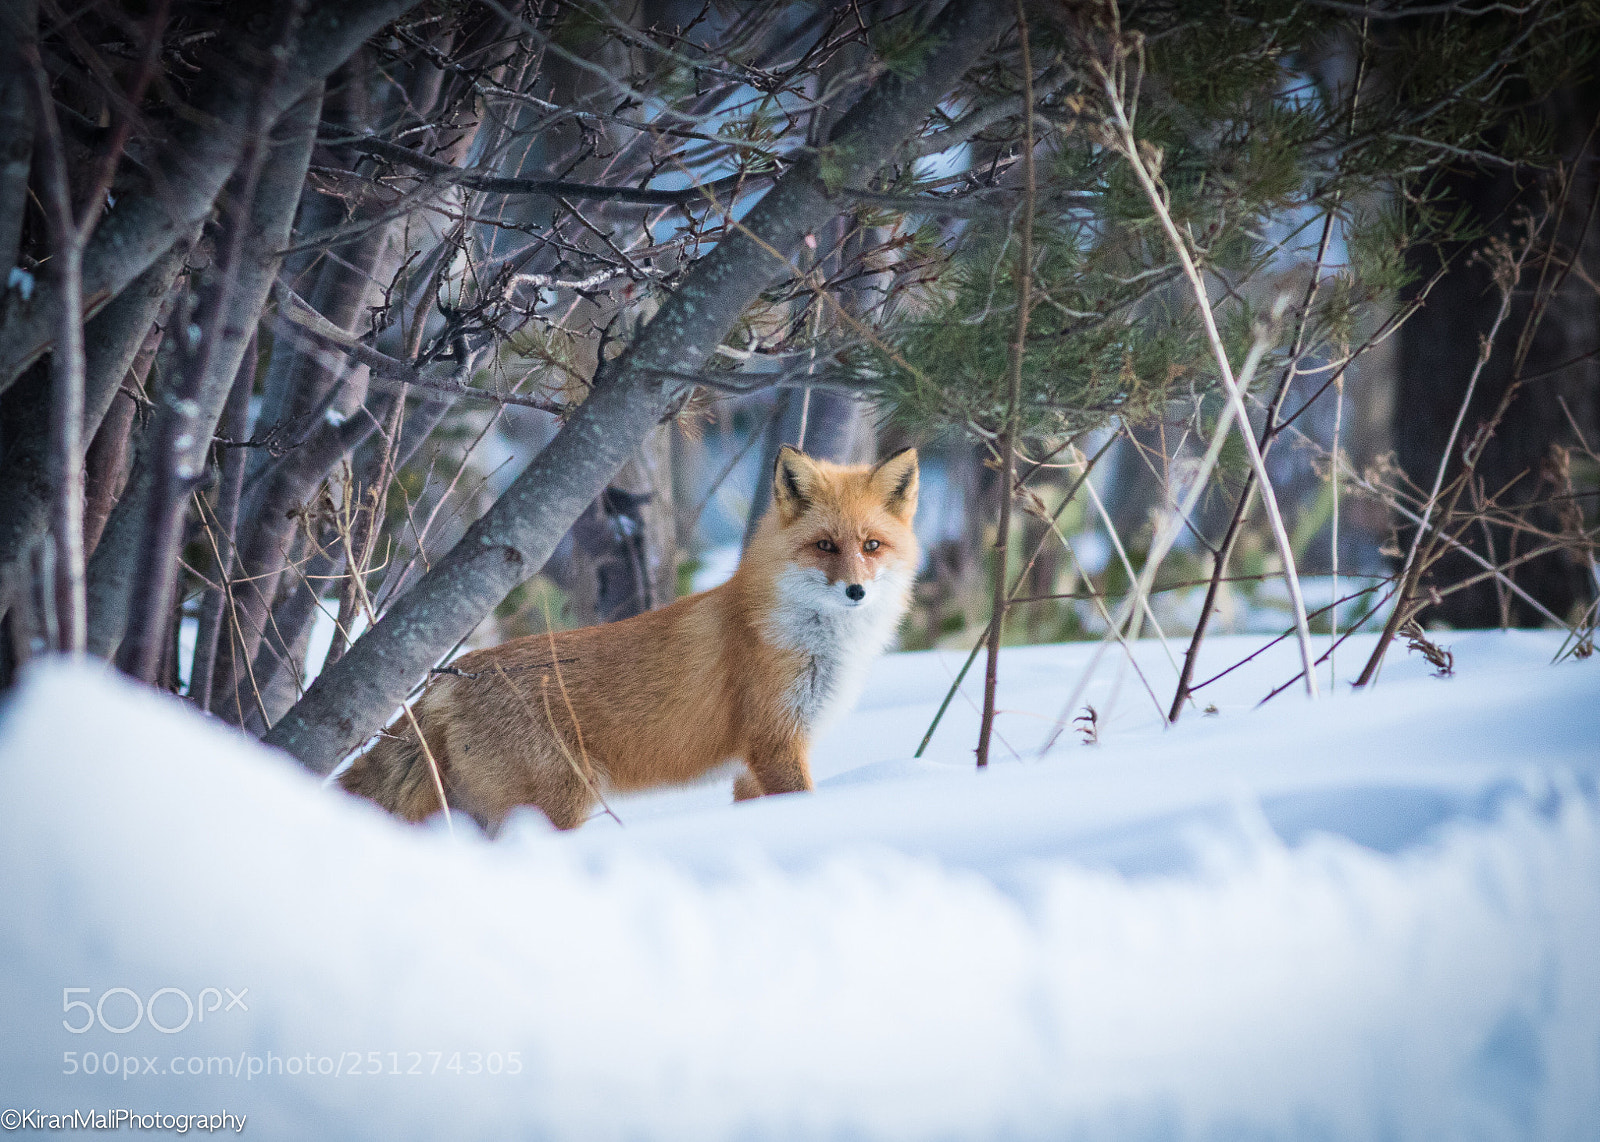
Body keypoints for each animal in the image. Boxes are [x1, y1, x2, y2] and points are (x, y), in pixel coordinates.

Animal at [338, 445, 920, 832]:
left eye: (871, 545)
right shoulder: (775, 744)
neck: (815, 641)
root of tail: (449, 681)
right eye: (825, 546)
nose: (855, 591)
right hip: (560, 805)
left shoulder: (751, 768)